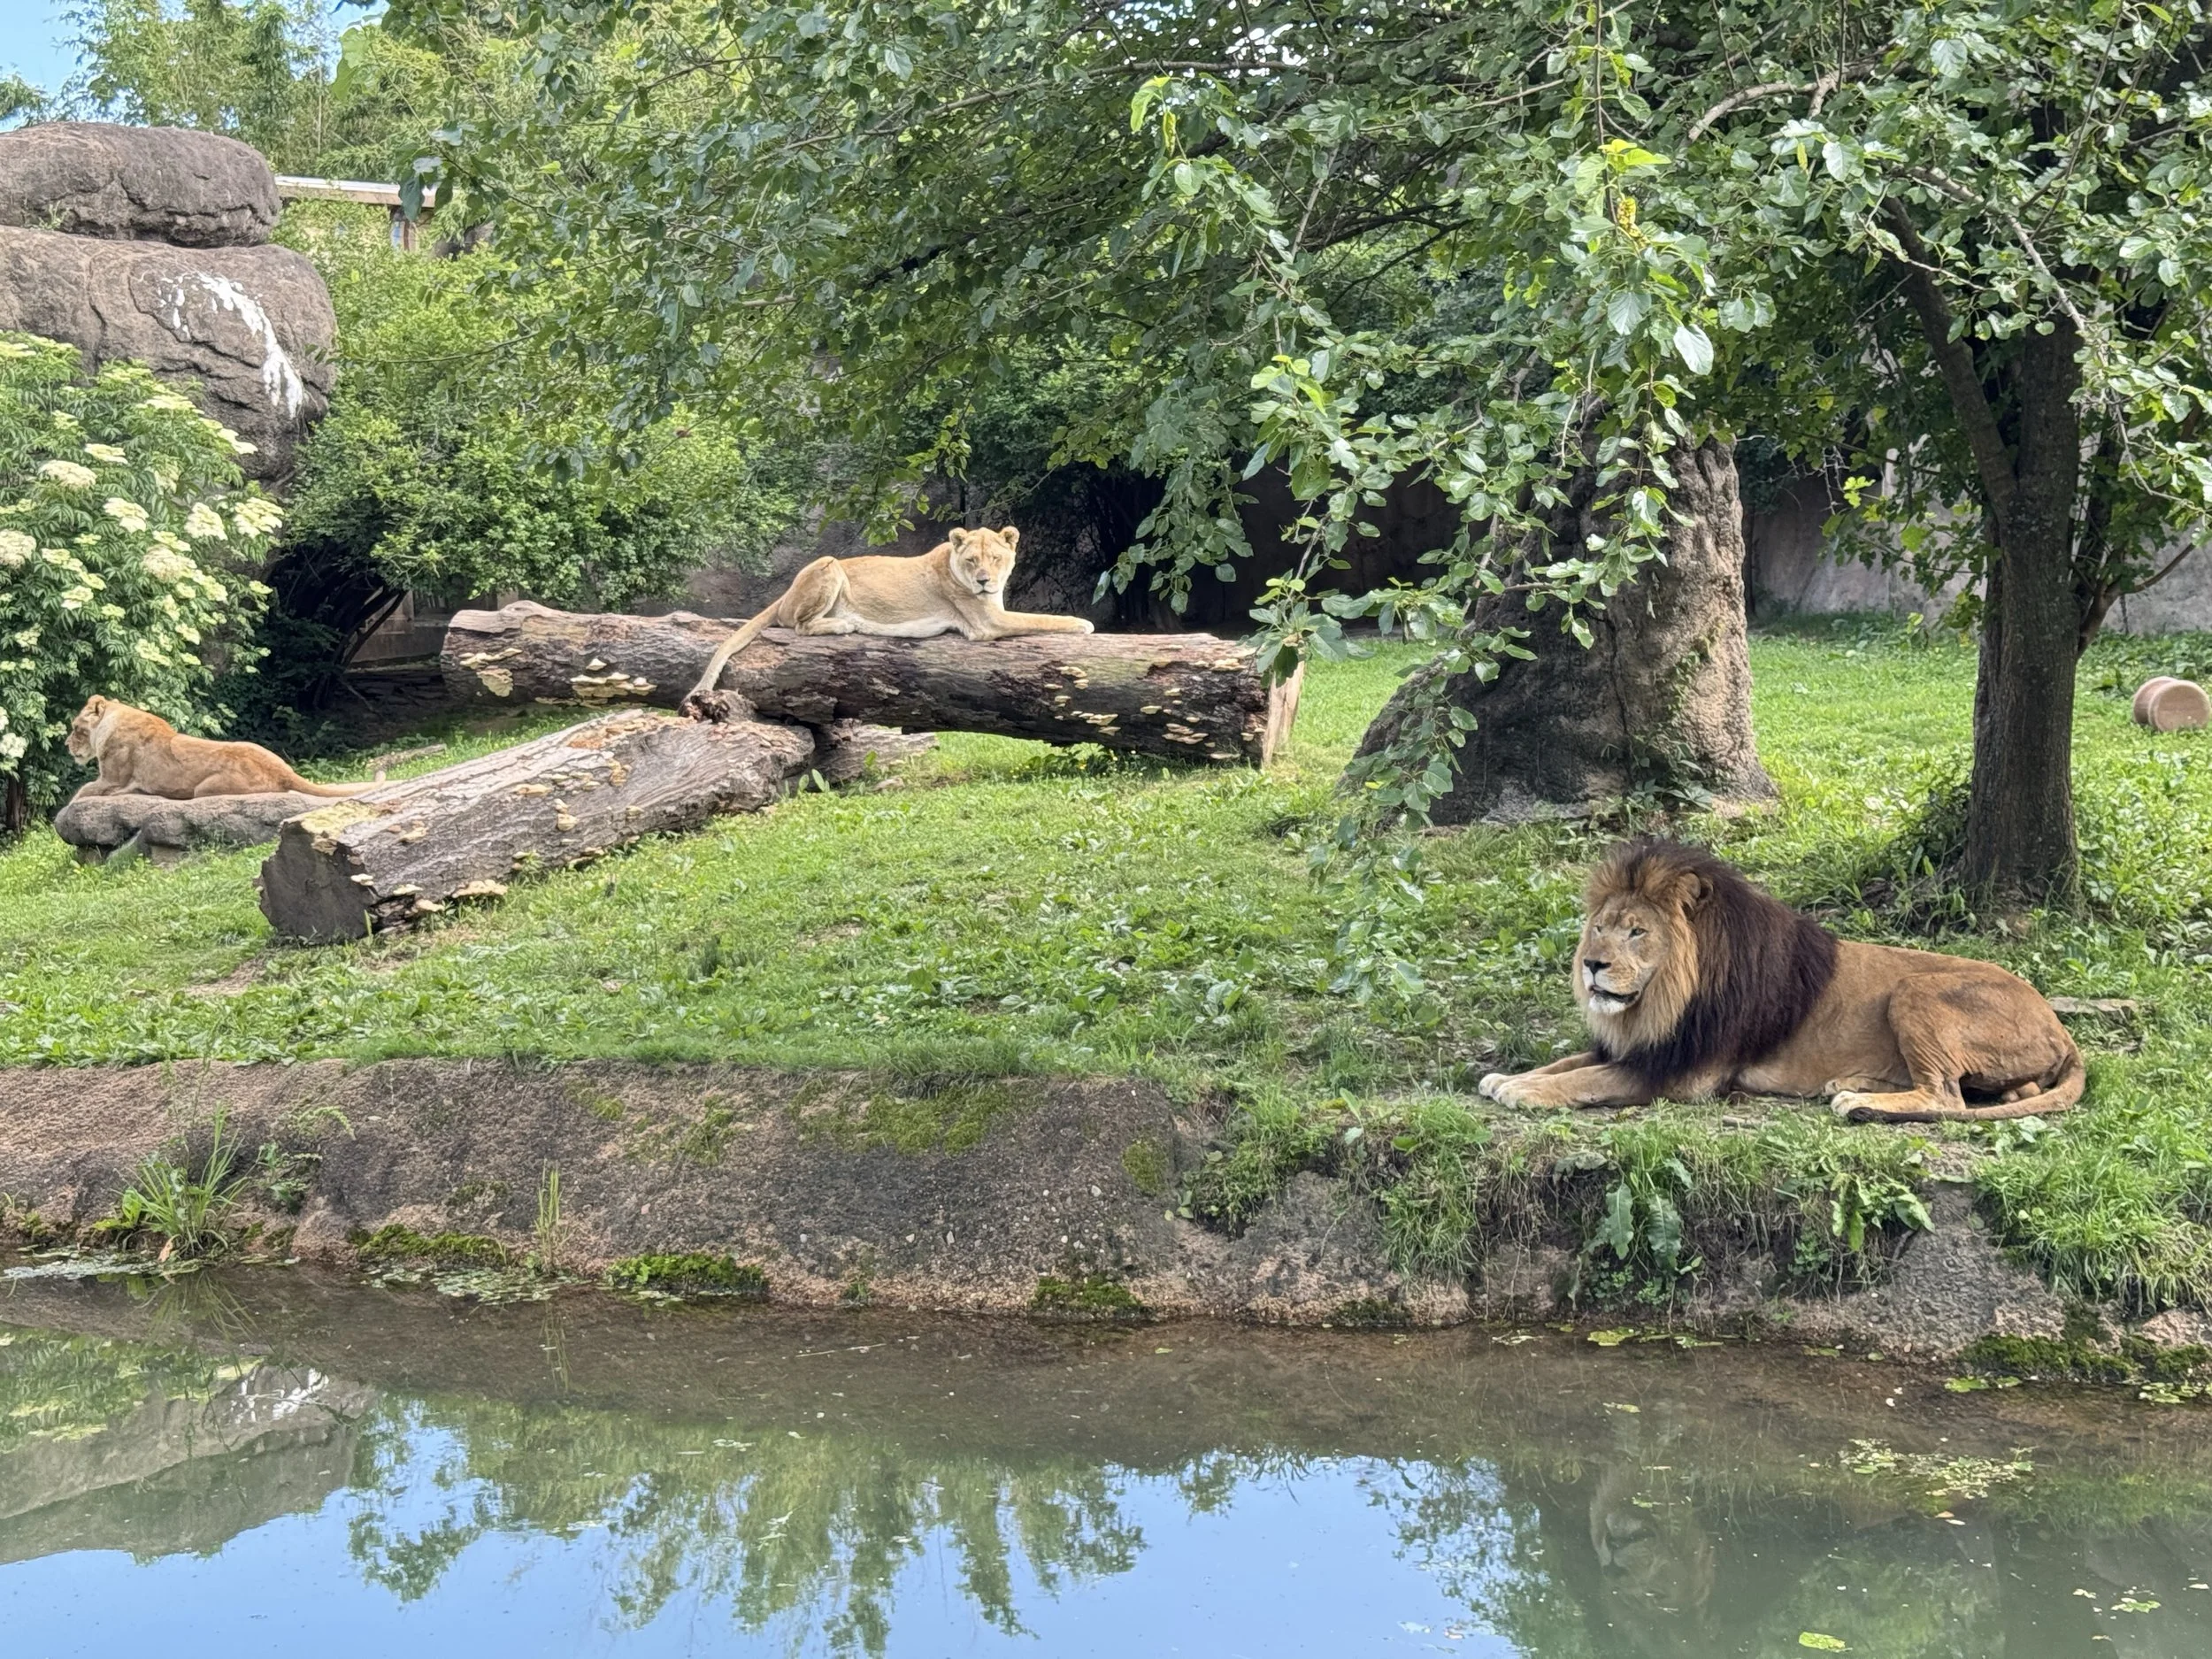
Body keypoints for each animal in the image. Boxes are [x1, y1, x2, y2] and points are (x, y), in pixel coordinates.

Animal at [66, 696, 383, 801]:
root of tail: (283, 770)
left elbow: (78, 794)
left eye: (75, 728)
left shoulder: (111, 778)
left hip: (204, 788)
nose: (67, 745)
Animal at [684, 525, 1093, 710]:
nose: (983, 581)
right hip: (830, 566)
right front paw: (1085, 624)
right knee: (798, 626)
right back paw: (847, 623)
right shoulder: (988, 624)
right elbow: (1046, 619)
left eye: (995, 558)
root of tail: (784, 593)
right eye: (972, 560)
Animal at [1476, 839, 2084, 1123]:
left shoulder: (1687, 1073)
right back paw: (1852, 1085)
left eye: (1636, 932)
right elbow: (1570, 1063)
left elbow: (1589, 1079)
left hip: (1916, 991)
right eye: (1599, 928)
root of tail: (2059, 1027)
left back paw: (1857, 1101)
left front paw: (1523, 1091)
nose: (1591, 965)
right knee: (2009, 1092)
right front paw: (1507, 1076)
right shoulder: (1649, 1047)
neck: (1661, 1002)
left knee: (1947, 1097)